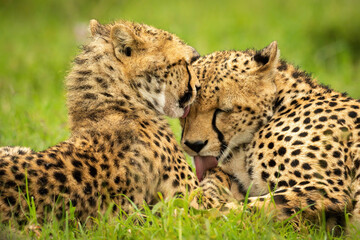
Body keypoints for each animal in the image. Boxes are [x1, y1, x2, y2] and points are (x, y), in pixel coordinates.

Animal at [181, 41, 360, 229]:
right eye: (185, 110)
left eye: (223, 110)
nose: (194, 145)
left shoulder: (326, 187)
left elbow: (241, 209)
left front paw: (191, 216)